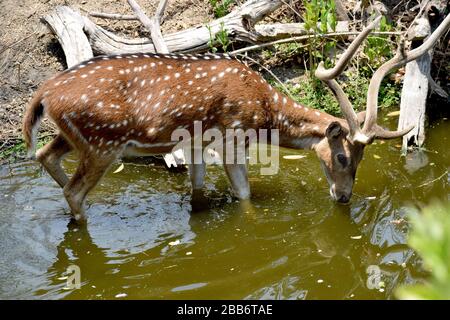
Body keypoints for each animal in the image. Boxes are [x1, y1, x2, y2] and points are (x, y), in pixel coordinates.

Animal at [23, 16, 442, 221]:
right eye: (341, 157)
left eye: (360, 159)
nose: (343, 197)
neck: (265, 110)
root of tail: (43, 94)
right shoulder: (232, 136)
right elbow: (243, 193)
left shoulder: (194, 141)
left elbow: (197, 189)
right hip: (103, 143)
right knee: (72, 189)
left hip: (74, 137)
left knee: (44, 156)